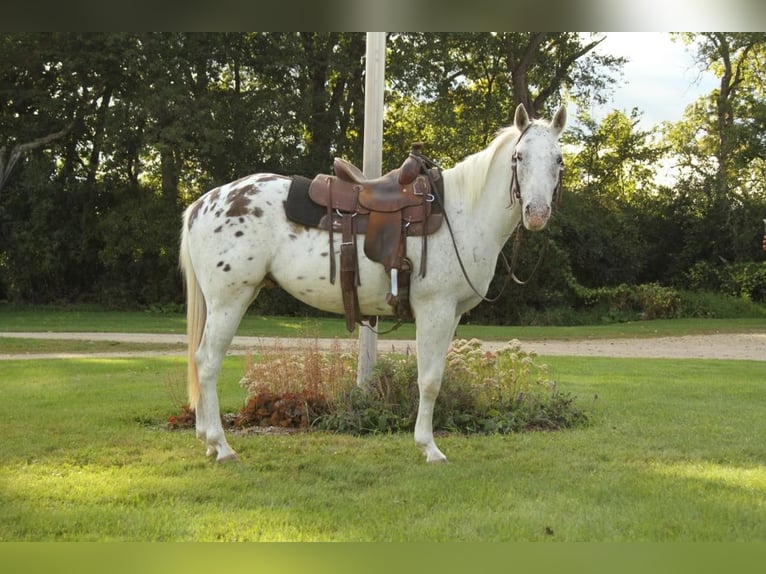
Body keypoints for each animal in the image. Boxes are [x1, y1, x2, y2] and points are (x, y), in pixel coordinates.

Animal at [178, 102, 564, 464]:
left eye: (559, 160)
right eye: (519, 157)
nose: (537, 213)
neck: (463, 214)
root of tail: (204, 203)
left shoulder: (451, 314)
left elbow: (435, 375)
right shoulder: (435, 310)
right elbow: (429, 381)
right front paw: (429, 447)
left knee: (200, 360)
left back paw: (207, 441)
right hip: (229, 301)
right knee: (208, 363)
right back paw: (221, 446)